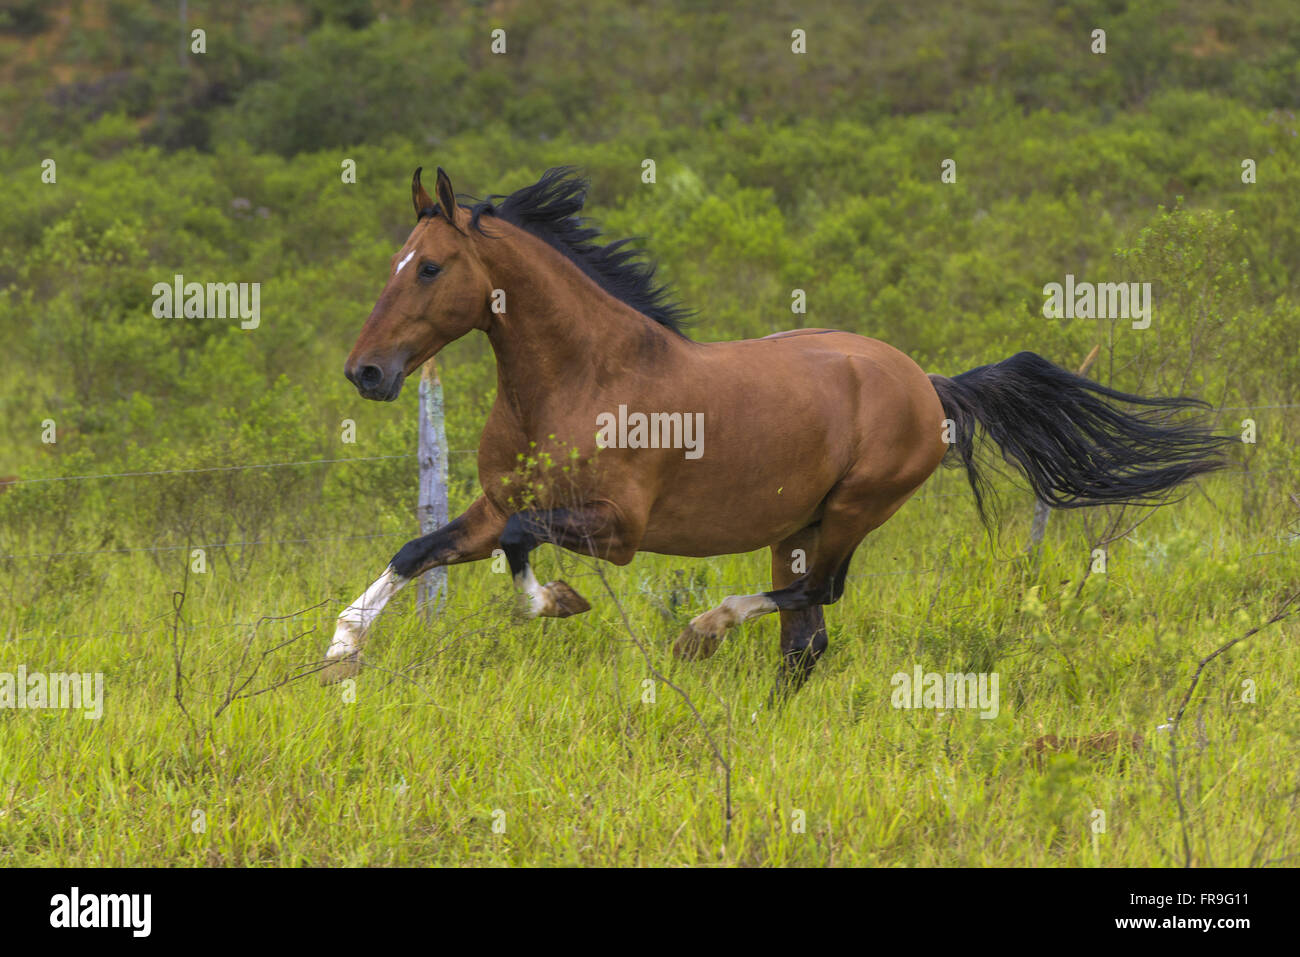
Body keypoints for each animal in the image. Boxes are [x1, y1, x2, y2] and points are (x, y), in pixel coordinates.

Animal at [322, 166, 1227, 686]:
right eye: (399, 260)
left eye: (429, 266)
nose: (366, 372)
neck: (581, 378)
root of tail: (927, 382)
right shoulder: (491, 504)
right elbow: (416, 550)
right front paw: (339, 656)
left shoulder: (615, 530)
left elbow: (518, 547)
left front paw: (561, 602)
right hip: (796, 522)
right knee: (806, 638)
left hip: (854, 509)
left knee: (815, 598)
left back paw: (701, 634)